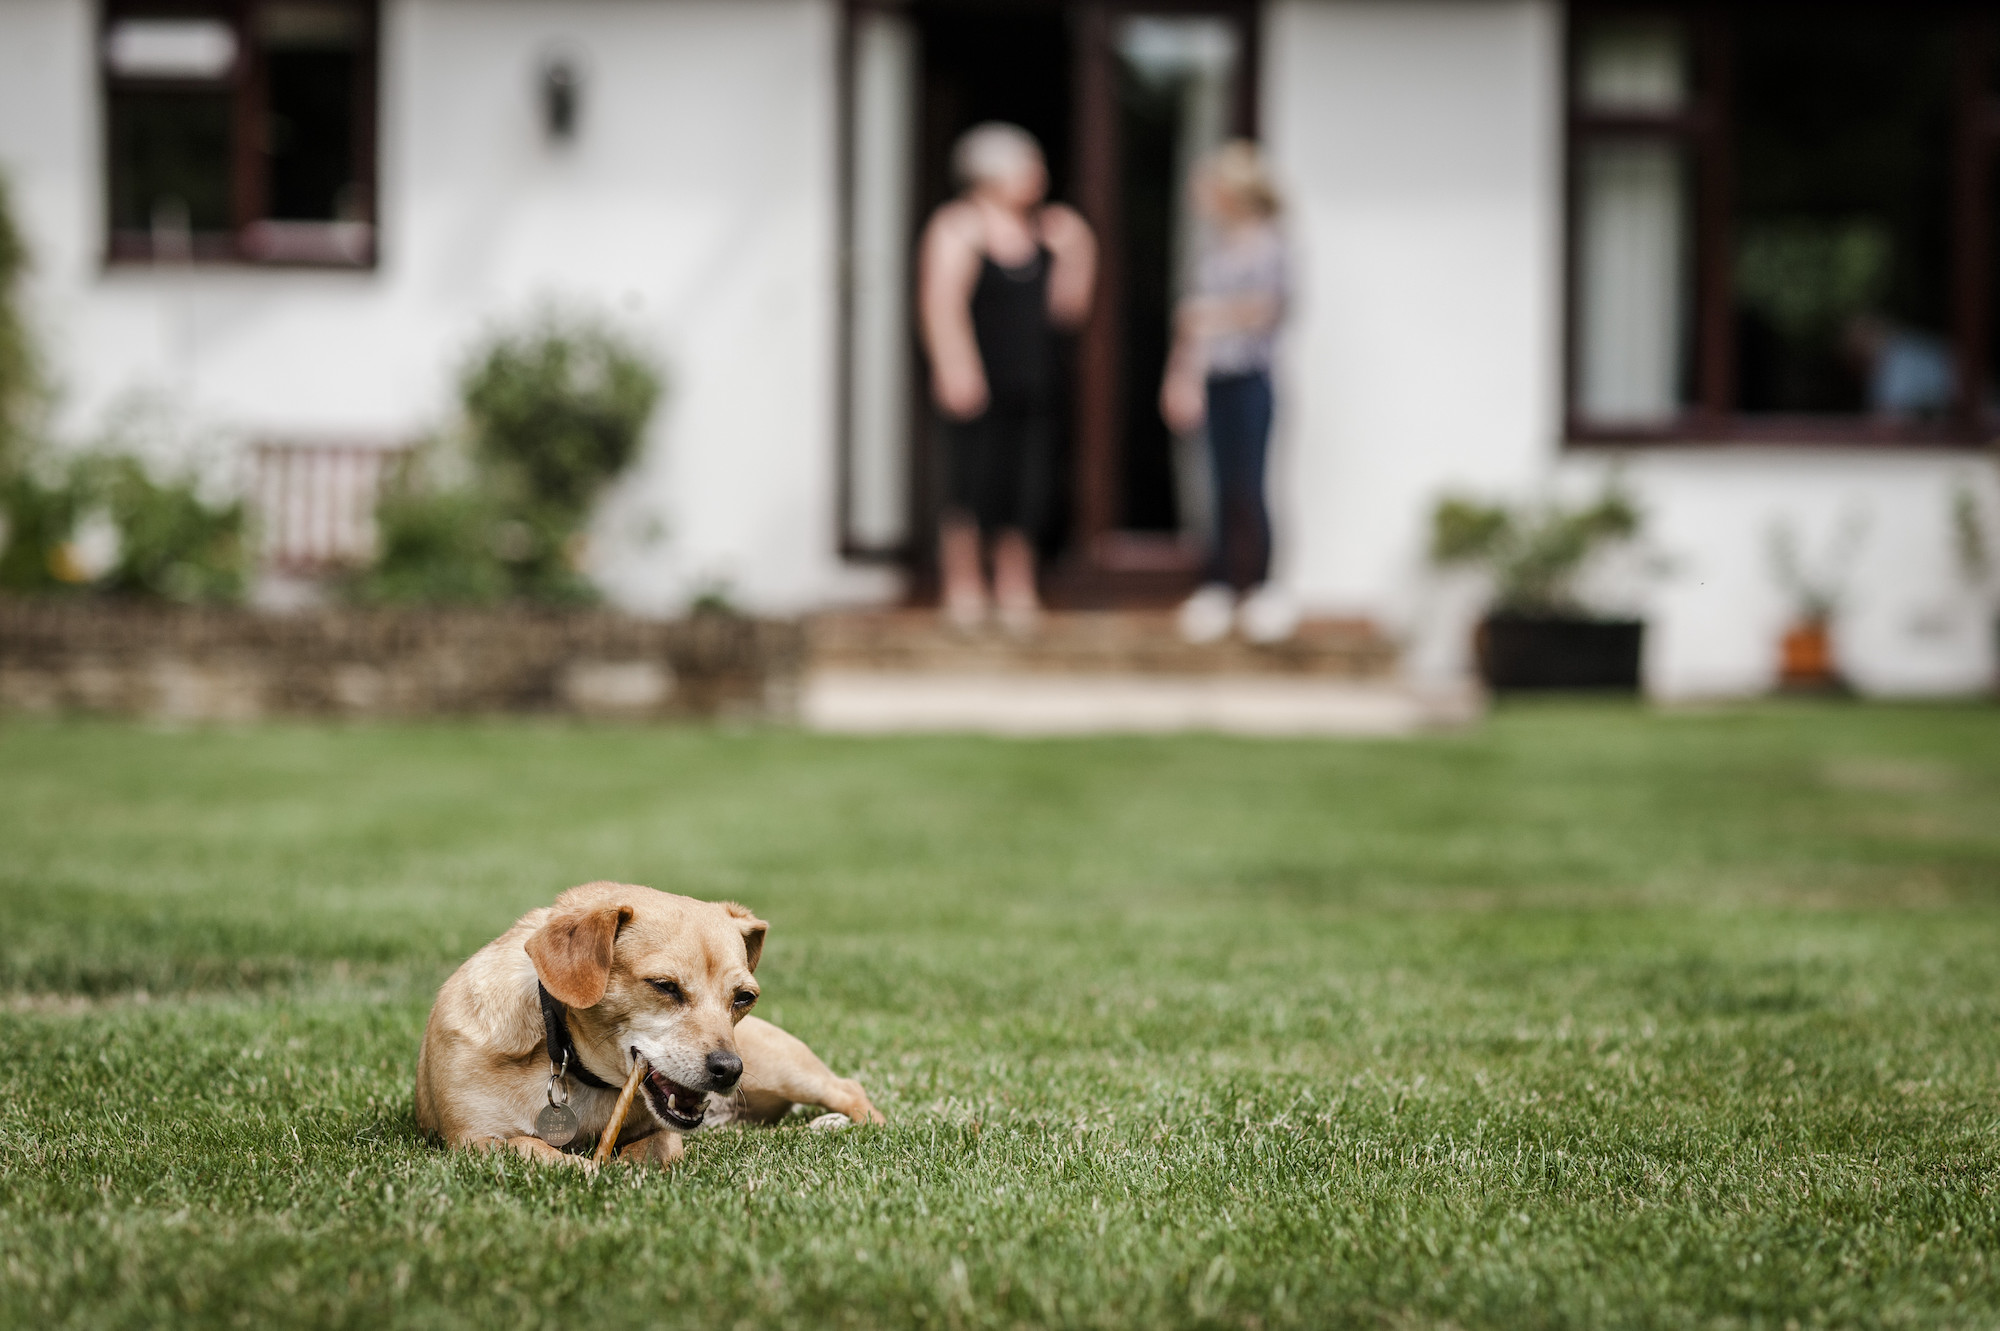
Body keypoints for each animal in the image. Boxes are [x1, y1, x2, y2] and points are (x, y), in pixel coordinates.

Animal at [416, 879, 884, 1159]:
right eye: (664, 986)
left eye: (744, 997)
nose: (729, 1069)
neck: (563, 1054)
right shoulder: (473, 1140)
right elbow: (534, 1148)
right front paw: (585, 1167)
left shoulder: (664, 1132)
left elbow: (657, 1145)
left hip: (783, 1070)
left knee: (848, 1089)